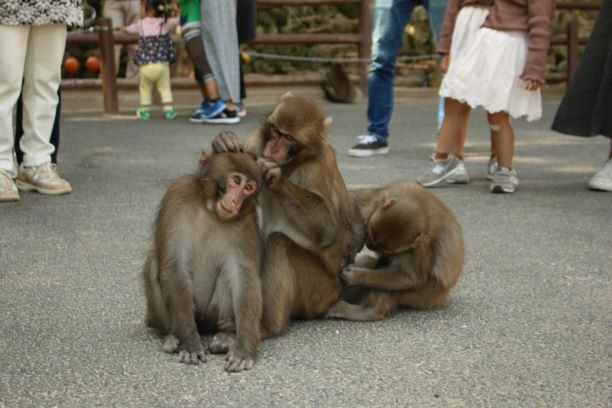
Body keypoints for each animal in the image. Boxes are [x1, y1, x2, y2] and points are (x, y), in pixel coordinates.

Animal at [142, 151, 264, 372]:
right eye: (236, 181)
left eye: (248, 188)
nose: (235, 201)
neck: (210, 209)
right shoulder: (177, 195)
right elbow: (174, 264)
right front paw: (190, 344)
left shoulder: (246, 220)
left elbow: (243, 276)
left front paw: (244, 350)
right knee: (153, 263)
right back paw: (173, 334)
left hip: (211, 315)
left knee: (228, 274)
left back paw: (226, 336)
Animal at [212, 93, 364, 338]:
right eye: (275, 131)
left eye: (288, 137)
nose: (273, 146)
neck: (292, 162)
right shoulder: (257, 142)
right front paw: (222, 141)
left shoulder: (318, 166)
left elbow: (329, 227)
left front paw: (275, 176)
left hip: (318, 290)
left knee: (279, 243)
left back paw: (268, 326)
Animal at [326, 182, 464, 322]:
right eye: (370, 234)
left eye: (387, 251)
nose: (369, 245)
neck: (420, 205)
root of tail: (440, 298)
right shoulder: (380, 196)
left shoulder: (420, 248)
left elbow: (412, 277)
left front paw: (357, 276)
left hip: (421, 297)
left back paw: (369, 311)